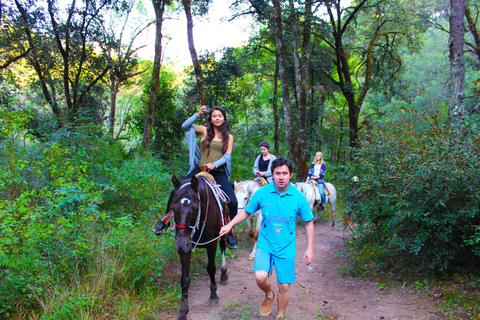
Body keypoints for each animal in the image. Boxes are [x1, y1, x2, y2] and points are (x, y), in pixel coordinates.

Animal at [170, 175, 228, 320]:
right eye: (173, 209)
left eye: (196, 209)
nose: (180, 244)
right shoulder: (186, 246)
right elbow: (185, 279)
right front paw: (183, 311)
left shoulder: (212, 243)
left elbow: (211, 268)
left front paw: (213, 296)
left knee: (223, 246)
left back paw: (224, 273)